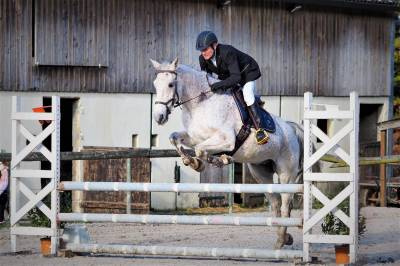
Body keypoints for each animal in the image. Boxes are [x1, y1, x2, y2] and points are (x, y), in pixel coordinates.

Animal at [150, 58, 304, 249]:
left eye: (171, 84)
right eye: (155, 84)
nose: (159, 117)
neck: (200, 104)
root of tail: (291, 128)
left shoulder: (227, 139)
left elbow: (200, 149)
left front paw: (211, 161)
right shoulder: (194, 137)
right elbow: (175, 138)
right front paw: (196, 162)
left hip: (286, 174)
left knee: (284, 203)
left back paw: (283, 237)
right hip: (260, 172)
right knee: (275, 202)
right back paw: (281, 239)